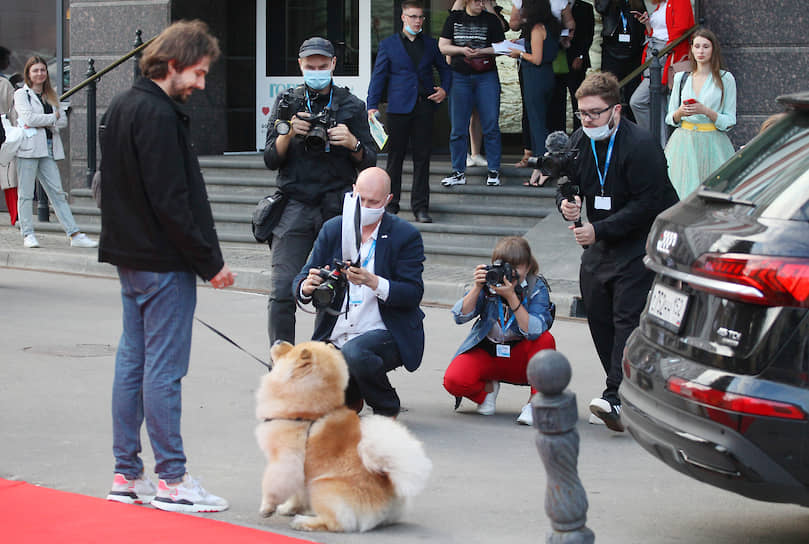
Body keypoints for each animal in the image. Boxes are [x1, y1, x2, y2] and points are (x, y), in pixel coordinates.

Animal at [256, 340, 432, 532]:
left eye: (291, 350)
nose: (278, 341)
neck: (307, 412)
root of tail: (389, 486)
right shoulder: (300, 472)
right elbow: (296, 495)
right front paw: (287, 508)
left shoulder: (284, 459)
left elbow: (273, 484)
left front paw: (267, 508)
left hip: (321, 486)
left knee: (337, 523)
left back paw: (303, 522)